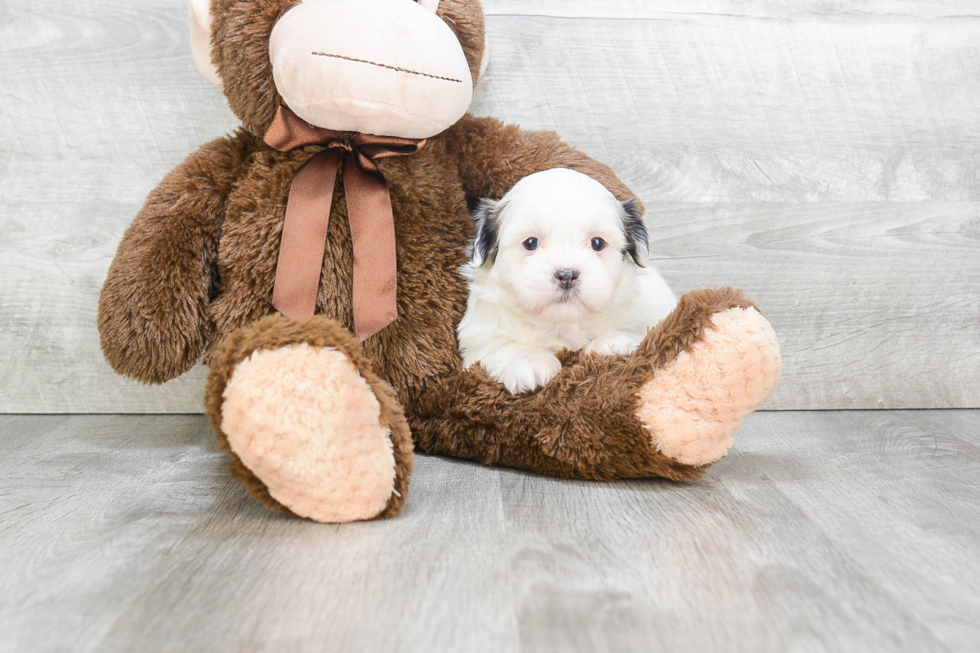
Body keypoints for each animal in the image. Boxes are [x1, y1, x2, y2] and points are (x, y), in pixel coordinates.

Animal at [458, 168, 672, 392]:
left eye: (597, 243)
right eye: (530, 242)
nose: (567, 275)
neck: (561, 324)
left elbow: (636, 334)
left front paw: (612, 344)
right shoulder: (479, 343)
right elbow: (499, 348)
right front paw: (529, 361)